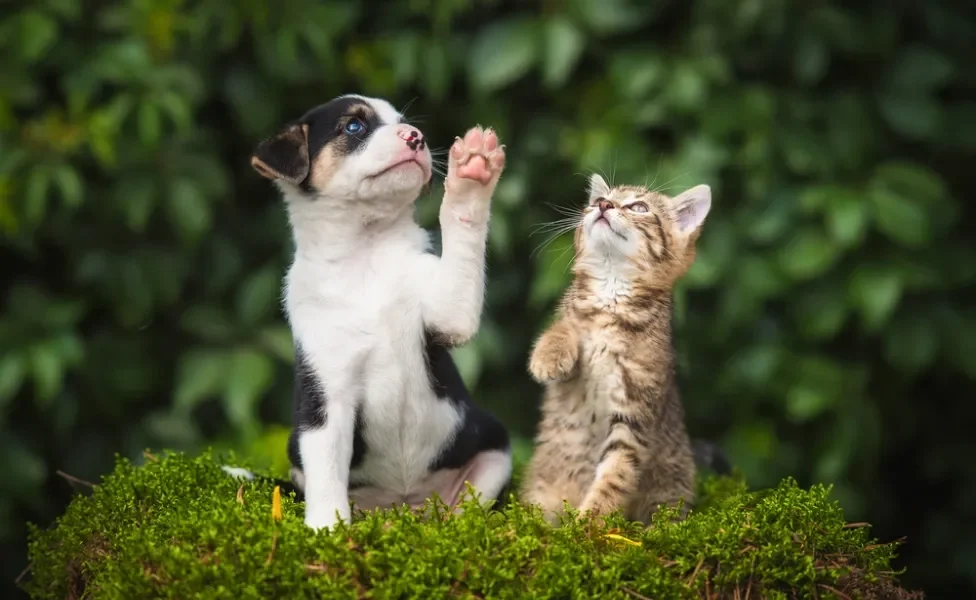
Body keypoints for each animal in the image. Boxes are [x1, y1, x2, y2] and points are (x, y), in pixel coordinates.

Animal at [228, 94, 510, 528]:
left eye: (404, 122)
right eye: (354, 126)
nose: (416, 137)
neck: (366, 250)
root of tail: (402, 504)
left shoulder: (448, 314)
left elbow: (462, 228)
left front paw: (472, 172)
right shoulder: (326, 396)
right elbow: (327, 471)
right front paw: (326, 528)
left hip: (493, 451)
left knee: (466, 505)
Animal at [520, 173, 708, 524]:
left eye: (639, 207)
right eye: (597, 200)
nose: (604, 205)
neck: (611, 294)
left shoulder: (634, 415)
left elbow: (615, 476)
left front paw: (586, 524)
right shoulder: (573, 325)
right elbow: (563, 326)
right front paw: (548, 355)